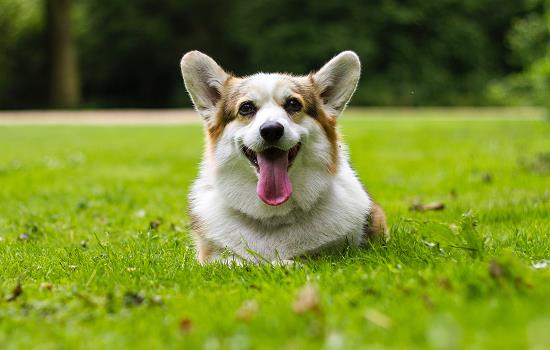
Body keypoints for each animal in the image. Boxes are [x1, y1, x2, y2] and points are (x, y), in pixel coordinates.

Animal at [181, 50, 388, 264]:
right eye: (246, 108)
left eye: (293, 104)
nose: (271, 130)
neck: (274, 215)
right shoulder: (212, 258)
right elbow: (233, 261)